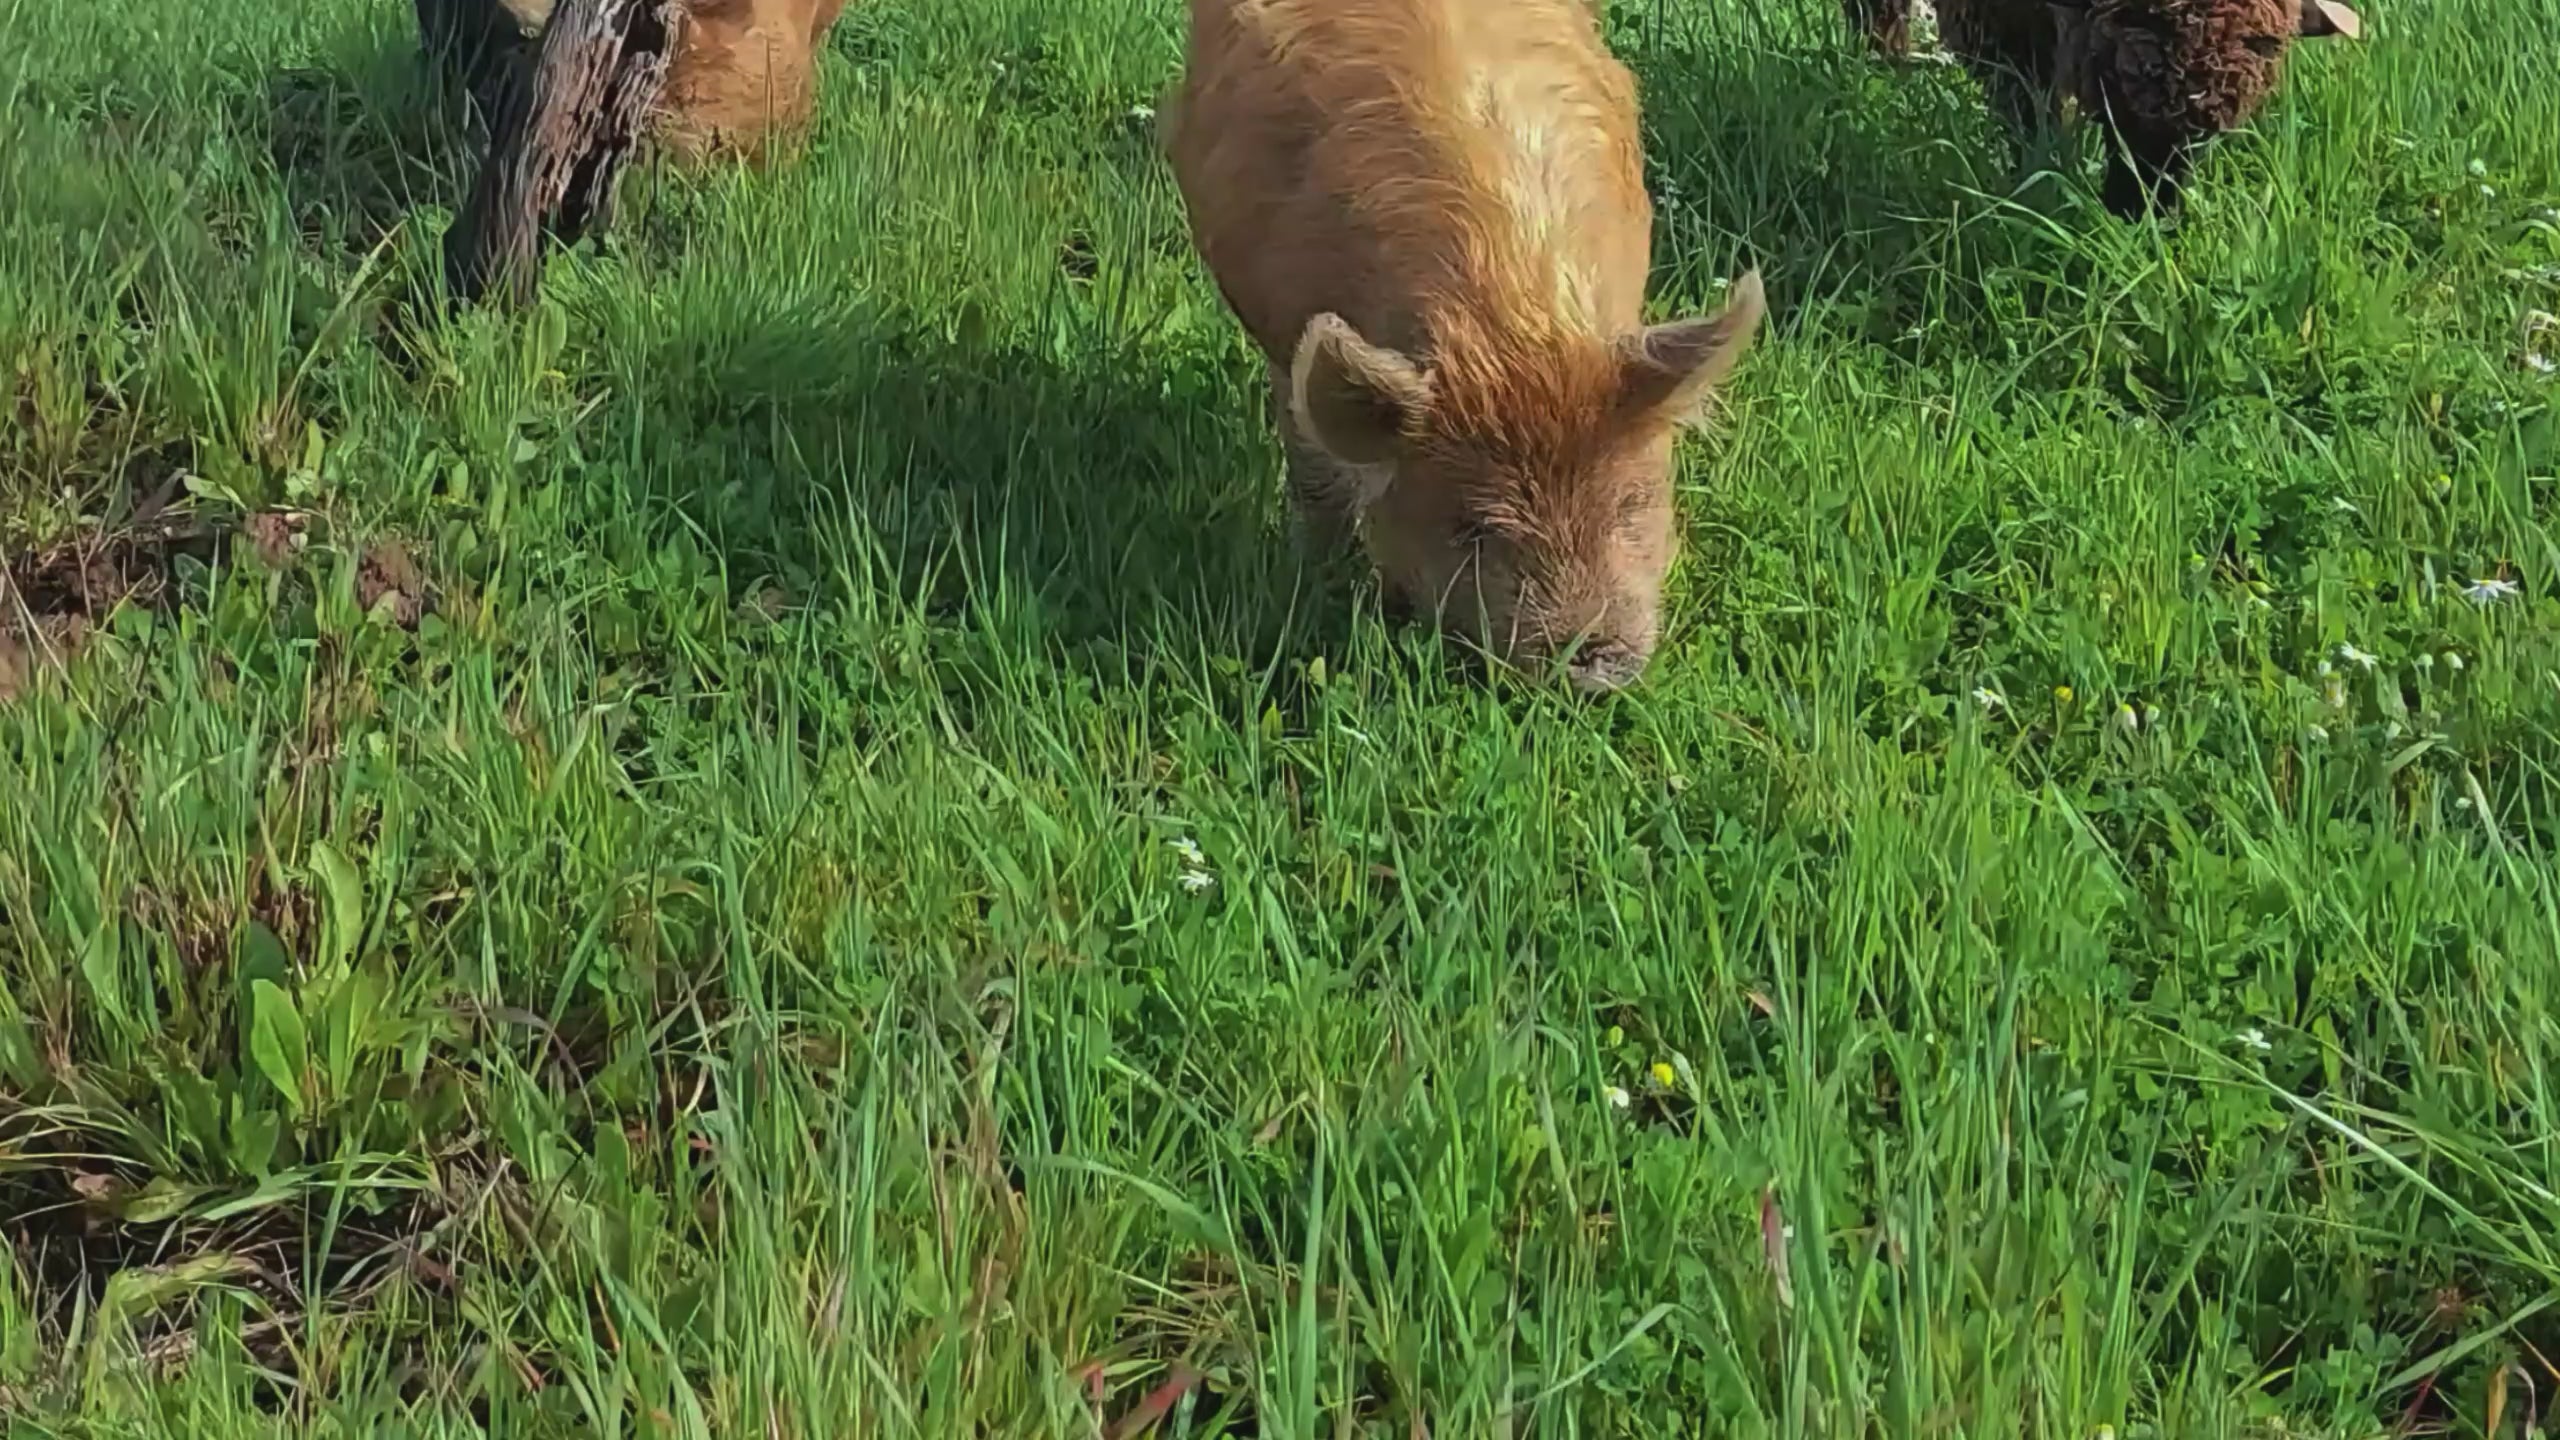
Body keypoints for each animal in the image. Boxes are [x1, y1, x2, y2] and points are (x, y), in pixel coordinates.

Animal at [1165, 0, 1766, 693]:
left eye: (1630, 503)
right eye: (1472, 529)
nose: (1590, 662)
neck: (1513, 329)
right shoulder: (1283, 330)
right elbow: (1317, 471)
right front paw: (1320, 582)